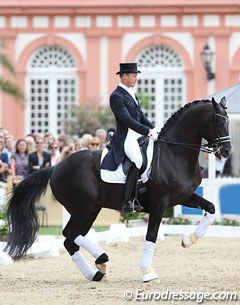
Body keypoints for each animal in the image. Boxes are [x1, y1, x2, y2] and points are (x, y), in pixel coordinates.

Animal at [4, 96, 232, 282]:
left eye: (229, 121)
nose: (227, 151)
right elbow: (152, 234)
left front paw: (189, 239)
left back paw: (96, 270)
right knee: (69, 234)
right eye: (219, 121)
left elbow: (211, 208)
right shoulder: (160, 202)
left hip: (91, 209)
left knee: (72, 238)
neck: (174, 153)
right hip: (82, 208)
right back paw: (100, 260)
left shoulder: (183, 197)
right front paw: (147, 272)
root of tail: (55, 168)